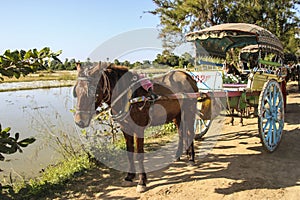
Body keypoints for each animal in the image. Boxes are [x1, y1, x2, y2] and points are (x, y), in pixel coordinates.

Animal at [73, 62, 199, 192]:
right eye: (76, 92)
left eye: (93, 91)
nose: (79, 121)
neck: (129, 97)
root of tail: (188, 76)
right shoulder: (126, 128)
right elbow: (129, 152)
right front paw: (129, 176)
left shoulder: (139, 129)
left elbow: (139, 154)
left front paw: (142, 181)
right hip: (177, 114)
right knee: (181, 132)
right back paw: (180, 155)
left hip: (189, 111)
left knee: (190, 132)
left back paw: (191, 158)